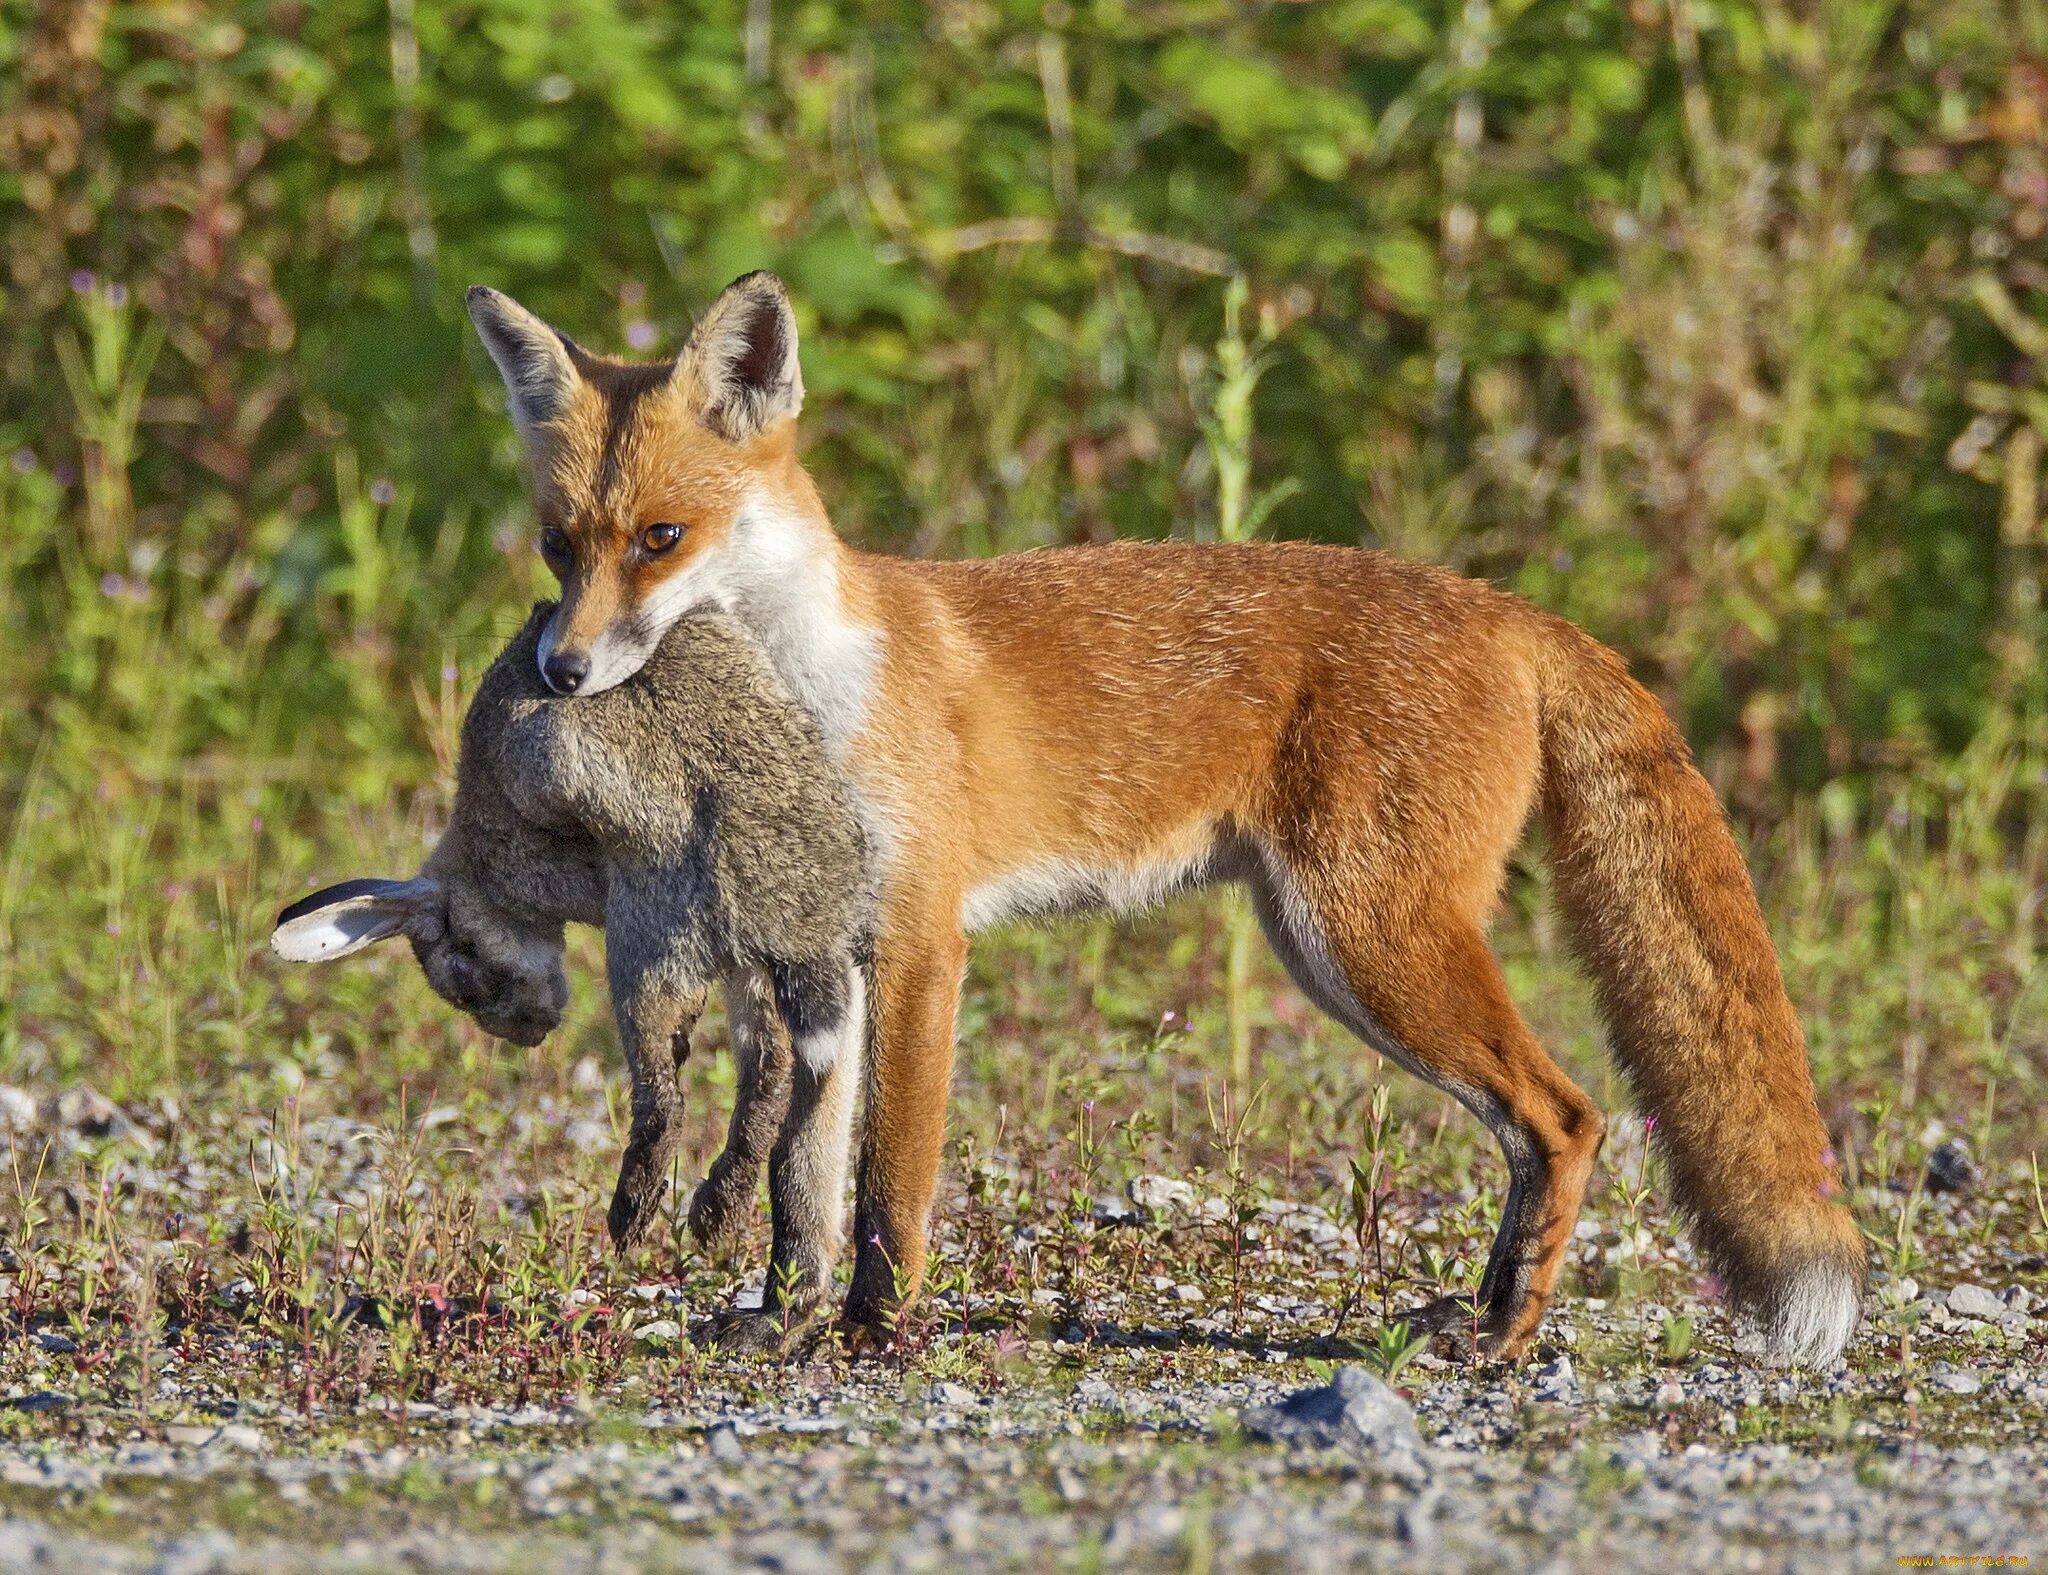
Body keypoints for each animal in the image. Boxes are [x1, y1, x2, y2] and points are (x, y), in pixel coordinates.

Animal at [468, 274, 1875, 1359]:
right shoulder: (810, 956)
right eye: (558, 548)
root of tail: (1501, 604)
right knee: (1542, 1131)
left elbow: (886, 1182)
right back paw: (1474, 1316)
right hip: (1333, 949)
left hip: (1365, 942)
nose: (561, 672)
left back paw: (1501, 1335)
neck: (806, 692)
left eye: (661, 537)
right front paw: (786, 1321)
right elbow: (799, 1182)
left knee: (1570, 1117)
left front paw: (870, 1331)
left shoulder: (920, 945)